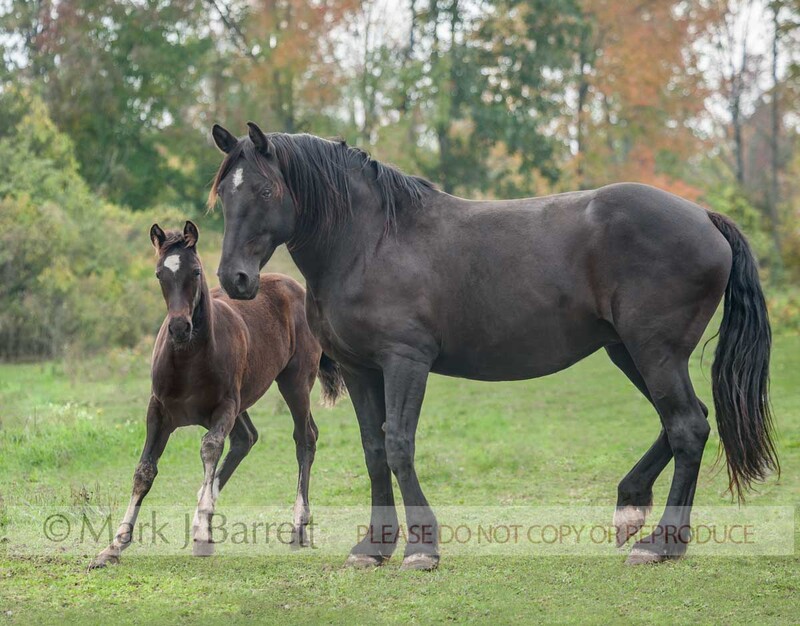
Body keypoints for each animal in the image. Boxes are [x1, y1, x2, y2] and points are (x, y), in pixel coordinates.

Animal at [89, 220, 345, 569]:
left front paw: (201, 533)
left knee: (305, 437)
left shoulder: (224, 408)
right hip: (244, 401)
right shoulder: (158, 411)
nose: (179, 327)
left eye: (196, 271)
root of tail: (297, 287)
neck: (187, 360)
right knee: (246, 438)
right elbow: (144, 471)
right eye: (159, 274)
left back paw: (297, 527)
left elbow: (209, 449)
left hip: (294, 382)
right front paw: (113, 546)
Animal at [208, 122, 778, 570]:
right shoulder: (359, 369)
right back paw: (635, 509)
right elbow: (373, 451)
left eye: (264, 191)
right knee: (686, 420)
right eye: (225, 195)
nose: (235, 279)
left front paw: (422, 547)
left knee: (688, 428)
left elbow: (399, 445)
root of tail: (705, 217)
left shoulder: (405, 362)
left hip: (653, 352)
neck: (370, 242)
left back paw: (661, 543)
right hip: (631, 352)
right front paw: (375, 546)